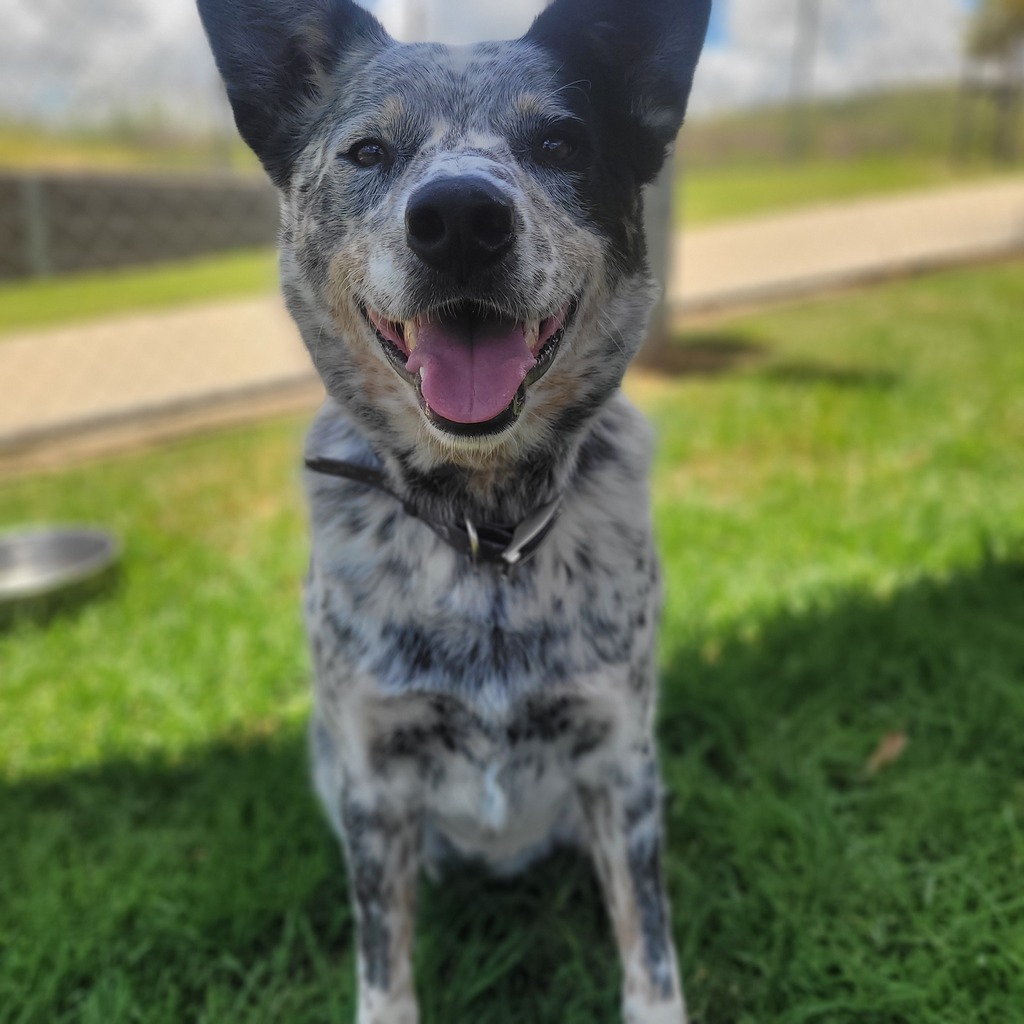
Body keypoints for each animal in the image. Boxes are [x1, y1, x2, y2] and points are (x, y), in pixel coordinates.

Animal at [197, 0, 710, 1020]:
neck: (487, 532)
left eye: (561, 140)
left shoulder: (619, 760)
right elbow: (383, 964)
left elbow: (650, 946)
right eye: (367, 151)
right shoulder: (375, 779)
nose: (462, 219)